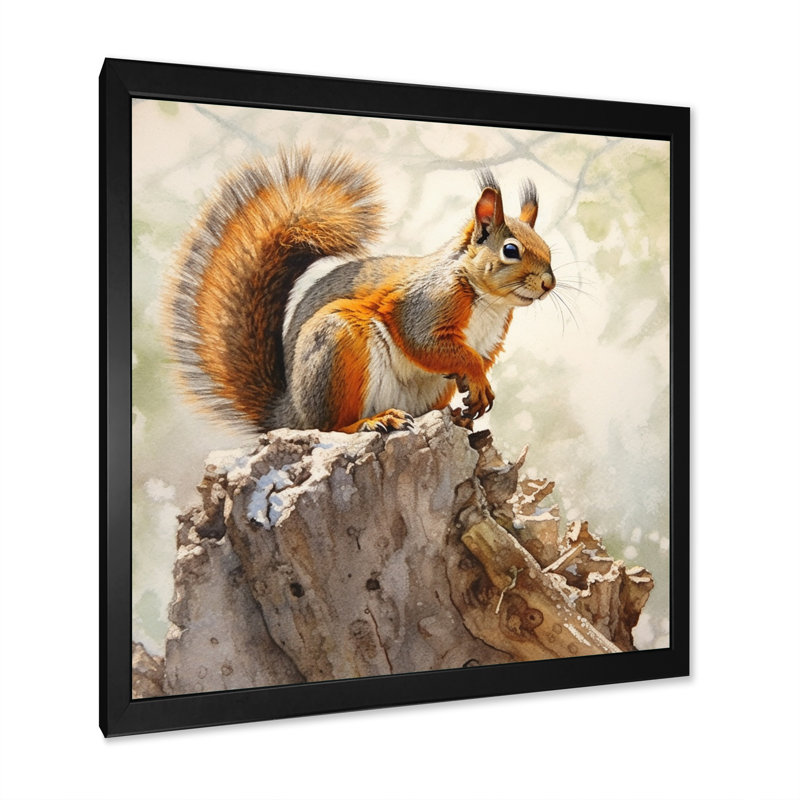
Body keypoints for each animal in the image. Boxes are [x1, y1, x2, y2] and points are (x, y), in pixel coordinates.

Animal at [165, 149, 554, 434]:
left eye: (548, 248)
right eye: (511, 250)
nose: (549, 283)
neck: (488, 302)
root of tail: (290, 414)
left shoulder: (488, 342)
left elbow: (471, 360)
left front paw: (476, 389)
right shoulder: (422, 307)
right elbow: (427, 344)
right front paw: (474, 378)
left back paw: (454, 418)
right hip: (339, 344)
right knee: (330, 427)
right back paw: (373, 421)